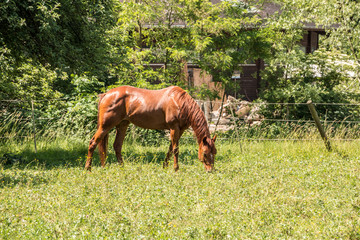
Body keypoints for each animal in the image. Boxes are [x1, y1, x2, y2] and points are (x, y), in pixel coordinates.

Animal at [86, 85, 217, 172]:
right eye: (205, 153)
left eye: (214, 153)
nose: (210, 170)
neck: (179, 102)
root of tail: (106, 94)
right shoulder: (174, 128)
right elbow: (175, 149)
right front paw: (176, 168)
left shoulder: (180, 130)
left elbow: (170, 148)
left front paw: (165, 166)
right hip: (105, 126)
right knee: (93, 142)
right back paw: (88, 168)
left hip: (122, 125)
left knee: (117, 146)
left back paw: (122, 167)